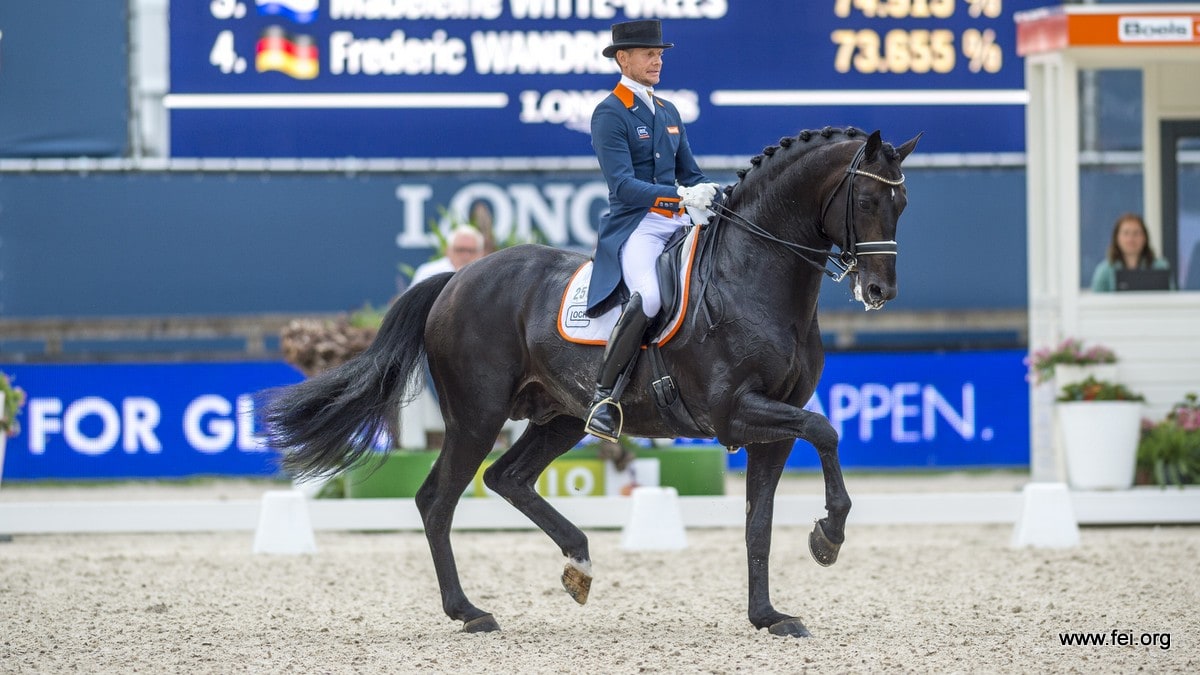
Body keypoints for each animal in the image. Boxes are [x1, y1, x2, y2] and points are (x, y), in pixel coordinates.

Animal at [262, 126, 916, 634]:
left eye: (902, 204)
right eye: (864, 199)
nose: (879, 292)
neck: (752, 278)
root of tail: (457, 278)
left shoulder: (771, 427)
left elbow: (760, 522)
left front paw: (769, 616)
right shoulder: (735, 411)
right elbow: (826, 430)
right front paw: (829, 536)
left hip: (559, 417)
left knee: (506, 477)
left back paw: (578, 563)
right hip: (477, 415)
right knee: (437, 500)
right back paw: (470, 612)